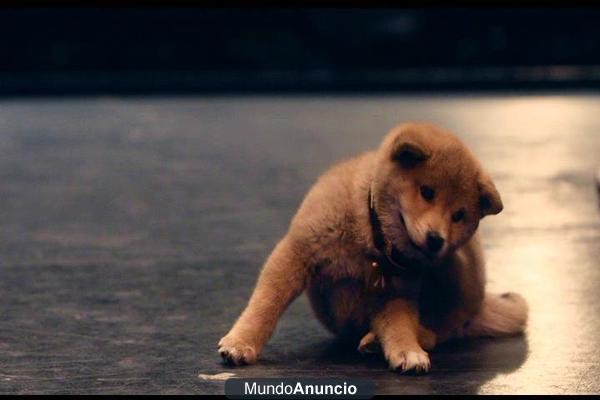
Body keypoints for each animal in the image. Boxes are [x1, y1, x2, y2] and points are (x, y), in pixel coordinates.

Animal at [218, 121, 528, 372]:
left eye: (459, 215)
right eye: (427, 192)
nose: (436, 240)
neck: (371, 238)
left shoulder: (395, 294)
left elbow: (401, 326)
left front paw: (408, 351)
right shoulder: (296, 253)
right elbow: (265, 304)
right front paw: (241, 342)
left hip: (456, 267)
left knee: (446, 327)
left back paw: (382, 341)